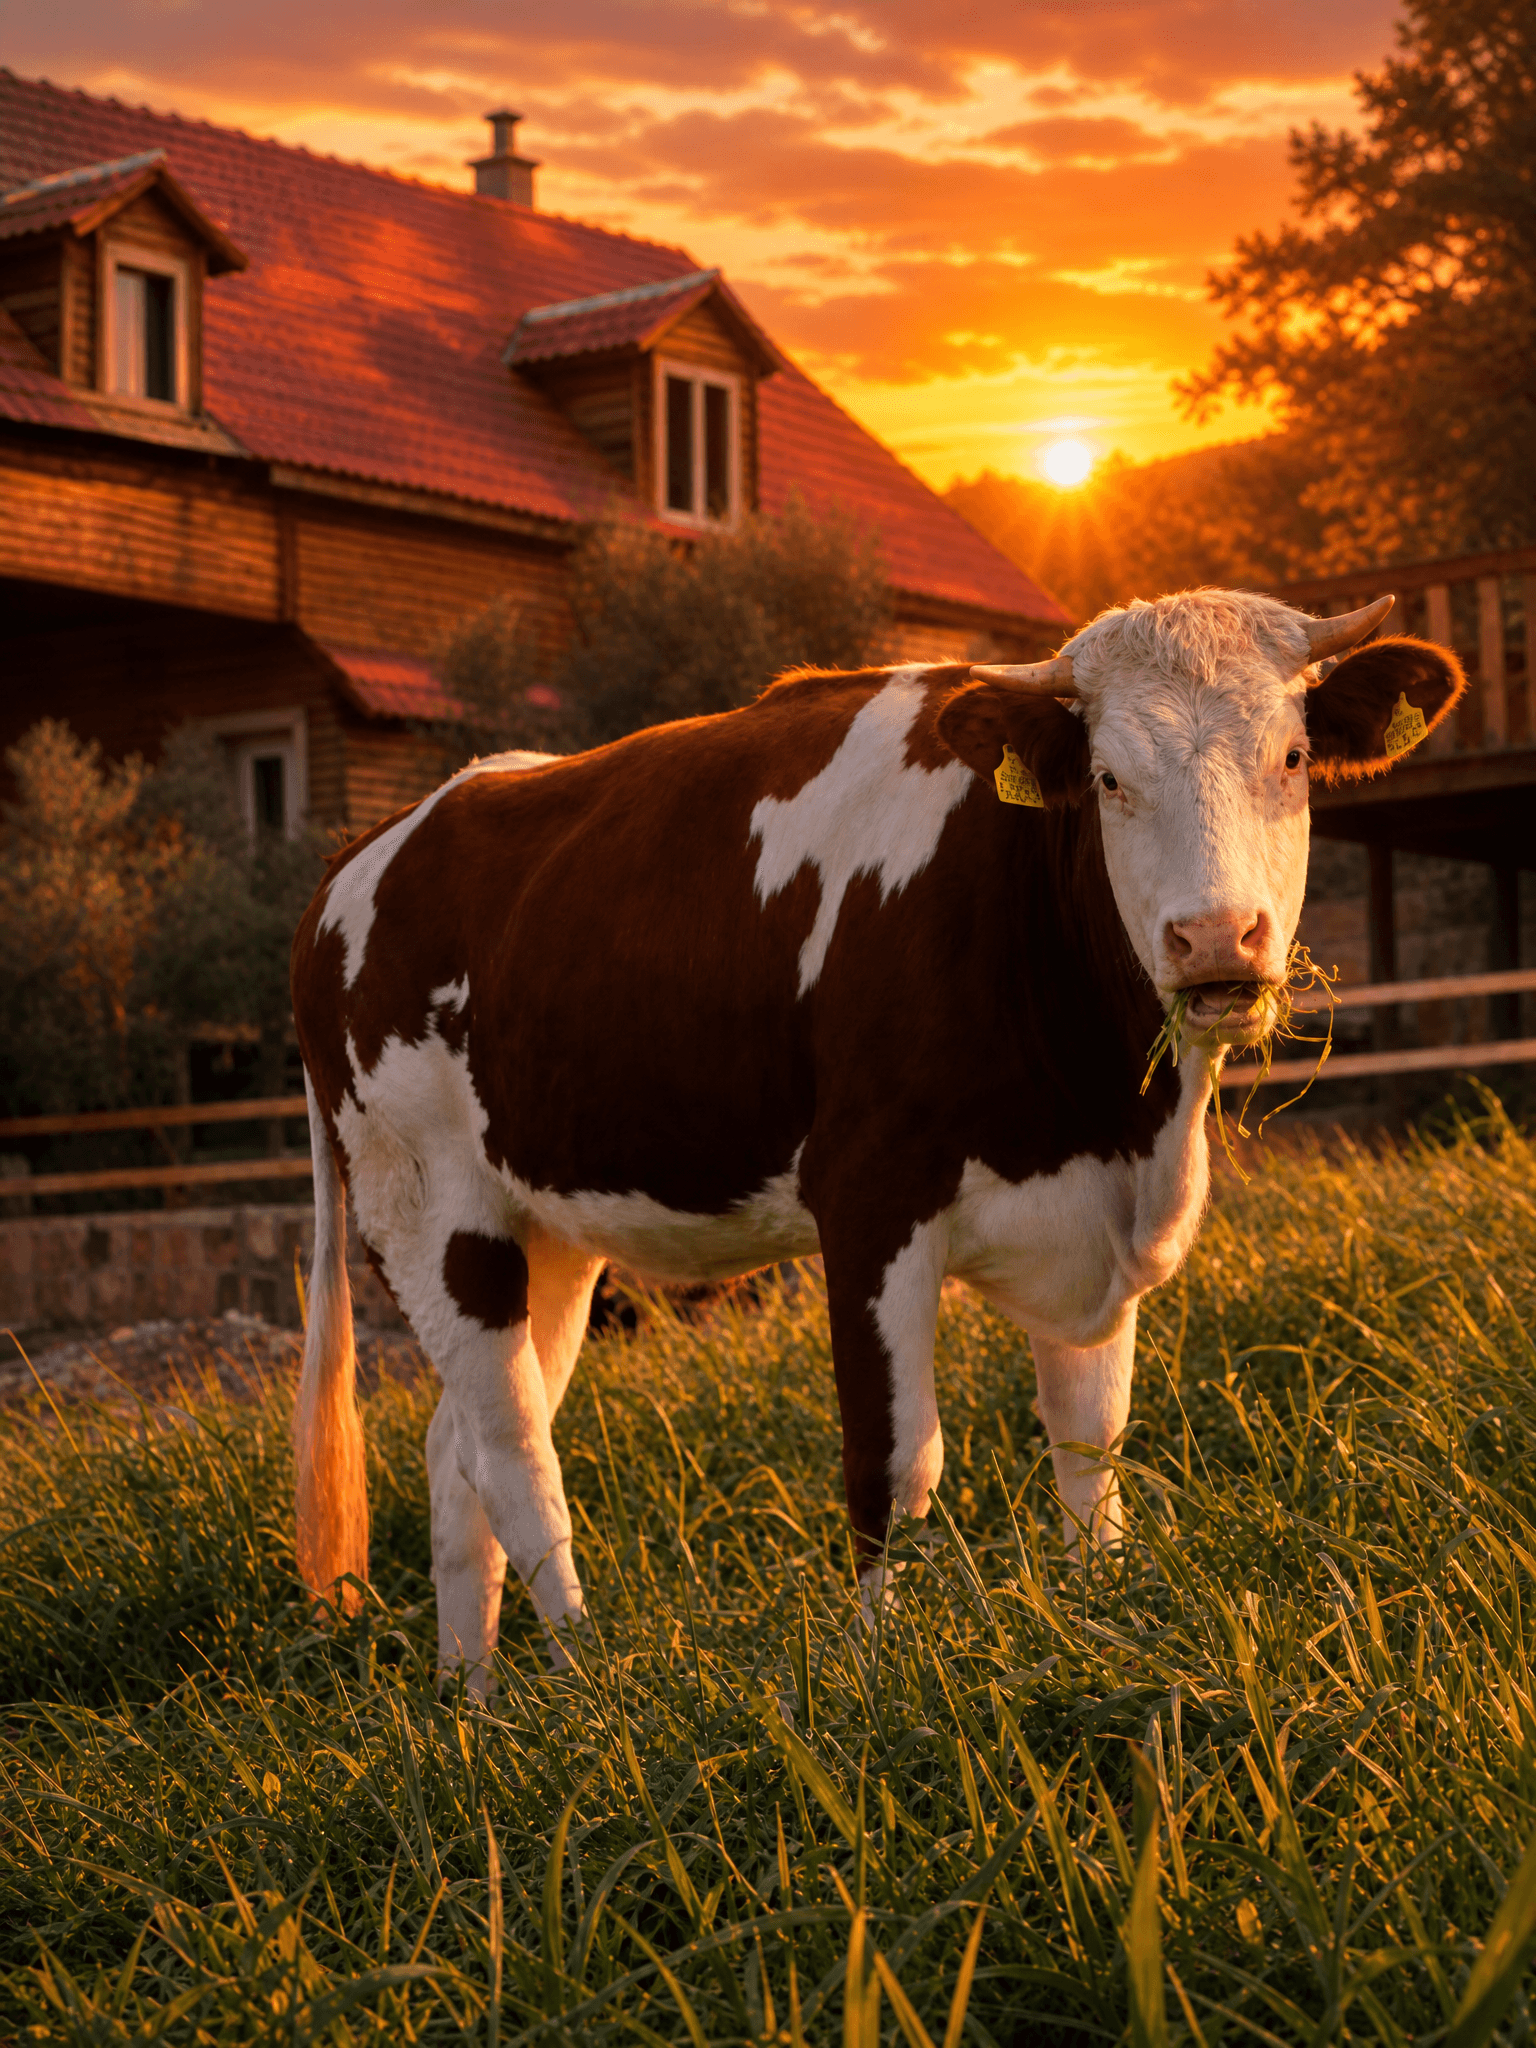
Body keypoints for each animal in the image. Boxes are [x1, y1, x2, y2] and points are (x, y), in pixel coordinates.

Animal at [290, 587, 1462, 1694]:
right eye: (1110, 778)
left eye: (1294, 756)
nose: (1216, 940)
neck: (1113, 1115)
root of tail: (361, 855)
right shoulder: (869, 1194)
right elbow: (894, 1466)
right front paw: (876, 1671)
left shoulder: (1095, 1219)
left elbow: (1091, 1448)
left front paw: (1103, 1623)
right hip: (429, 1209)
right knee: (515, 1458)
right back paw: (585, 1685)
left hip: (549, 1234)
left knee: (456, 1454)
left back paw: (477, 1709)